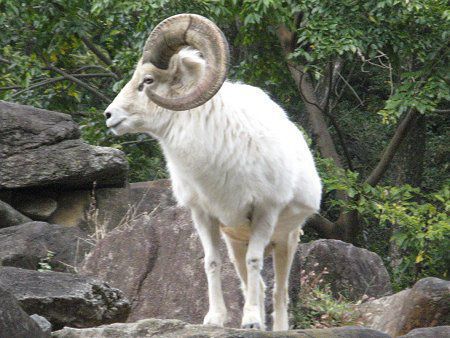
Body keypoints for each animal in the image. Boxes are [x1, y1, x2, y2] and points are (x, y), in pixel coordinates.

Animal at [104, 13, 324, 330]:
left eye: (148, 80)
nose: (109, 116)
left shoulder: (264, 213)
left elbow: (256, 263)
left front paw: (251, 323)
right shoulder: (204, 215)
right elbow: (211, 262)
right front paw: (215, 319)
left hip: (286, 240)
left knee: (280, 291)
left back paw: (273, 327)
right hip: (236, 242)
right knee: (255, 283)